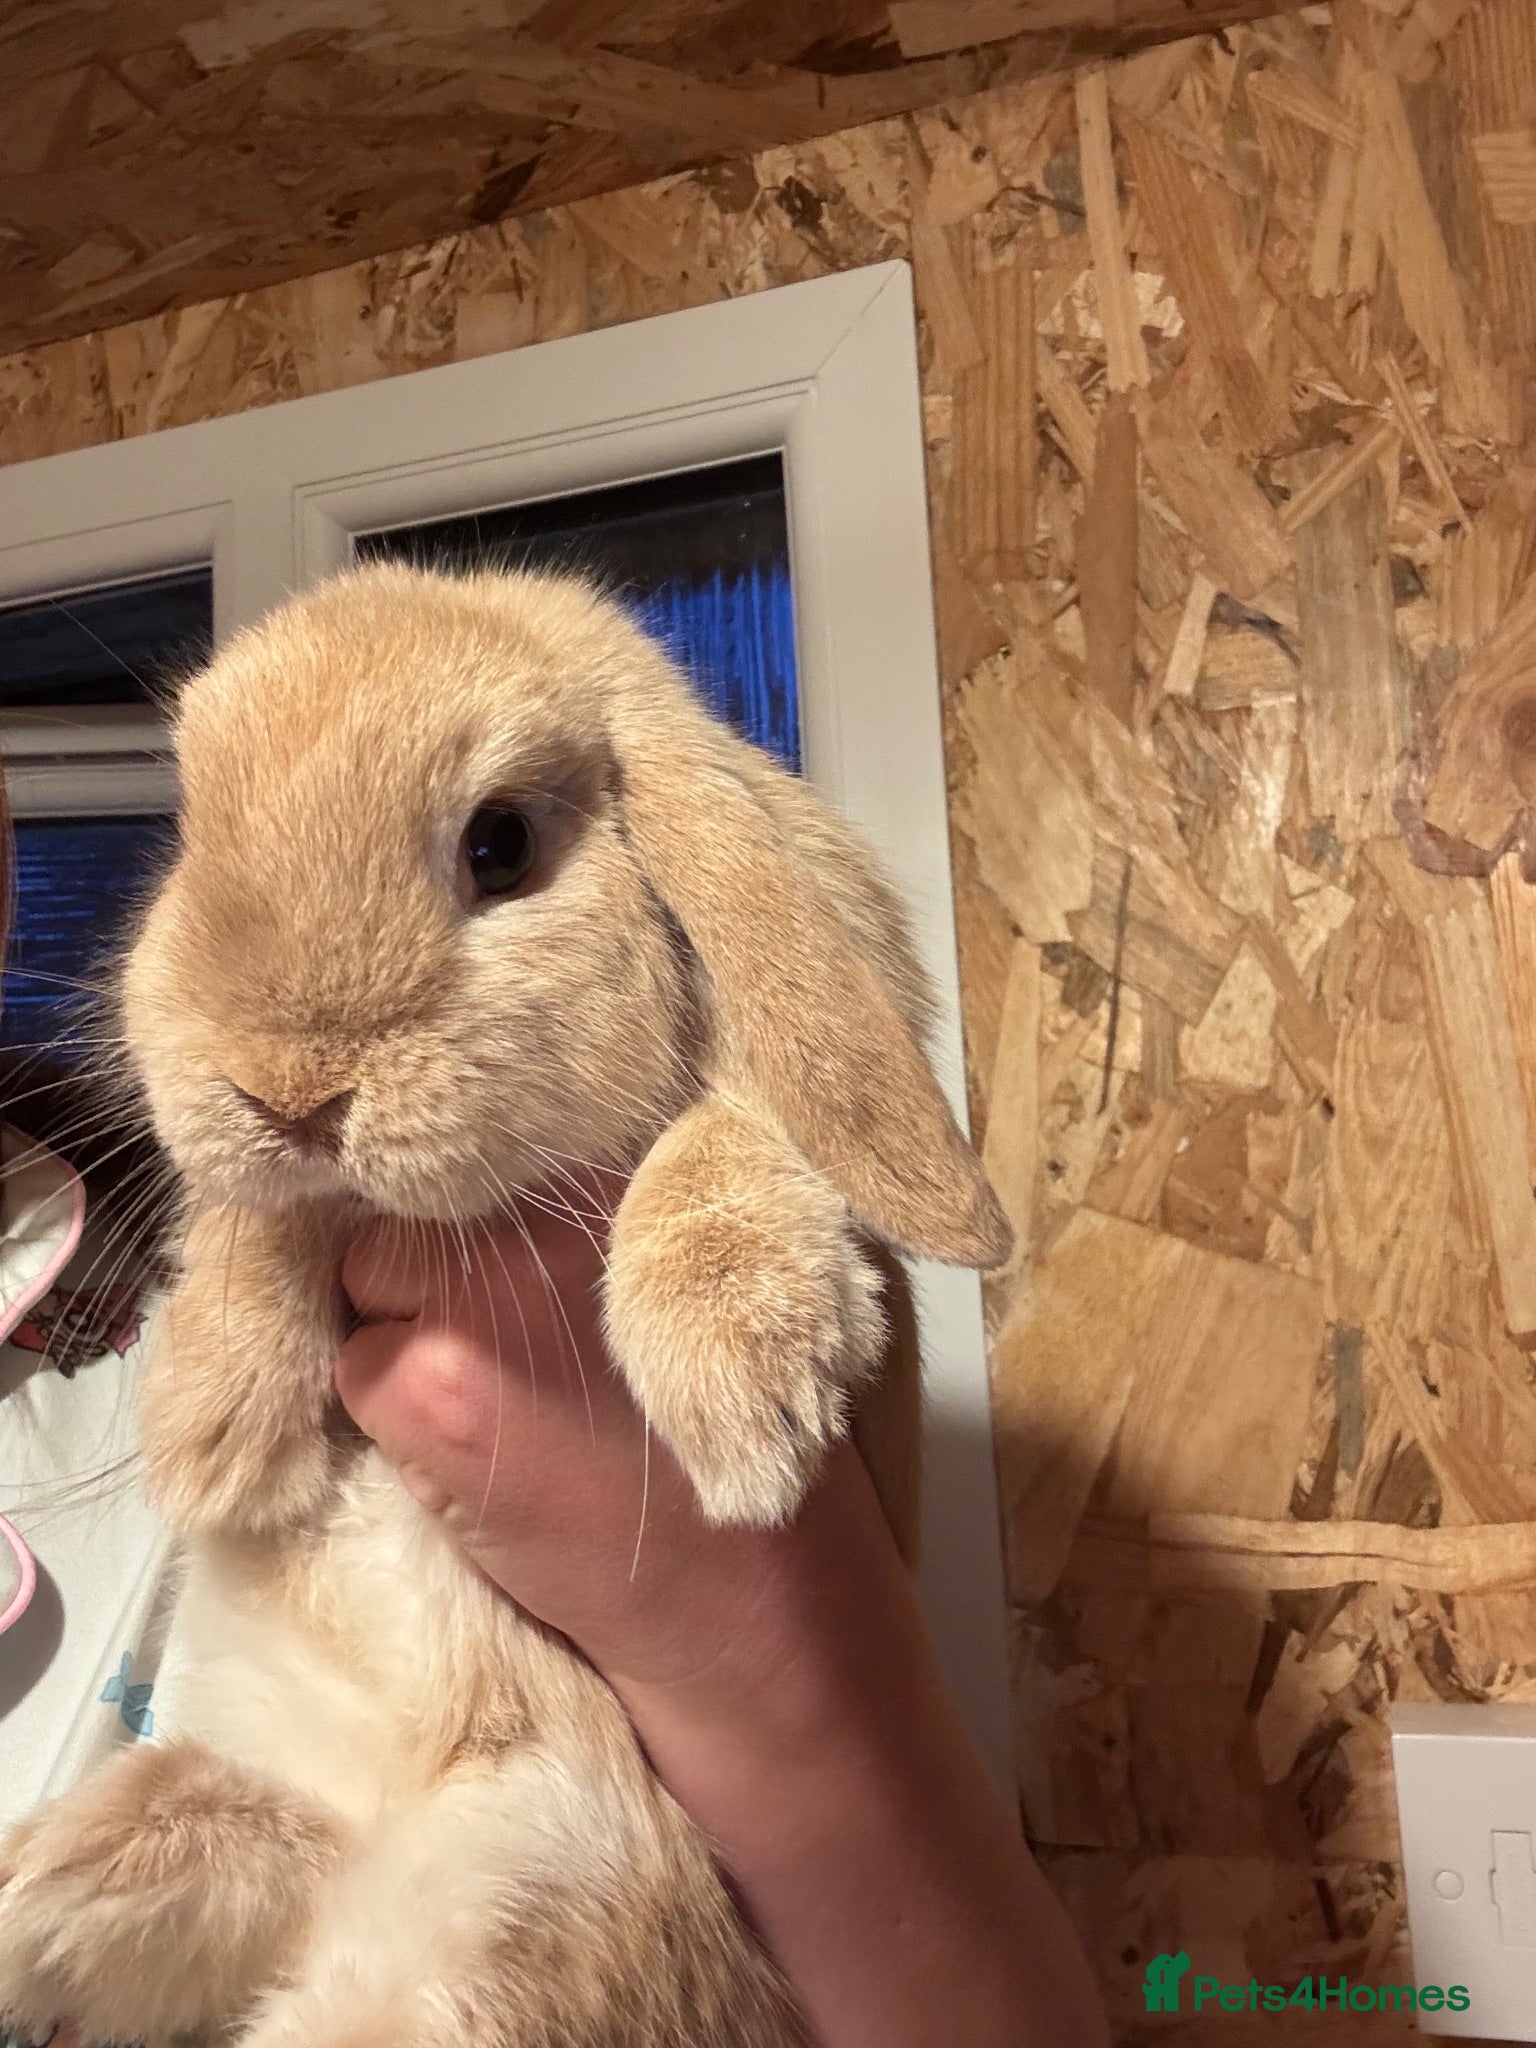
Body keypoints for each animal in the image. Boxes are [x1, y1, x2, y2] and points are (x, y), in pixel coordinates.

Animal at [0, 562, 1009, 2048]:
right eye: (190, 833)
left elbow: (730, 1122)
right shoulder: (291, 1198)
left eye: (500, 846)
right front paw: (217, 1433)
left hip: (517, 1915)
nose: (286, 1091)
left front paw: (742, 1393)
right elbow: (267, 1213)